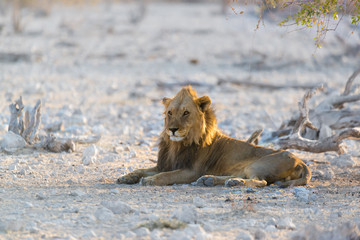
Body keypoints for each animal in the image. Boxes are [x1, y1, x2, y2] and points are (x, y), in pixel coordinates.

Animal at [116, 86, 310, 188]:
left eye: (186, 113)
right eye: (170, 113)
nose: (172, 129)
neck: (176, 146)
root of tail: (301, 162)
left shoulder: (192, 171)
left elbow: (166, 176)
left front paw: (150, 180)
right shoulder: (164, 164)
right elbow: (141, 169)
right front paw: (127, 177)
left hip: (258, 165)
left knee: (260, 181)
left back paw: (234, 182)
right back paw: (210, 179)